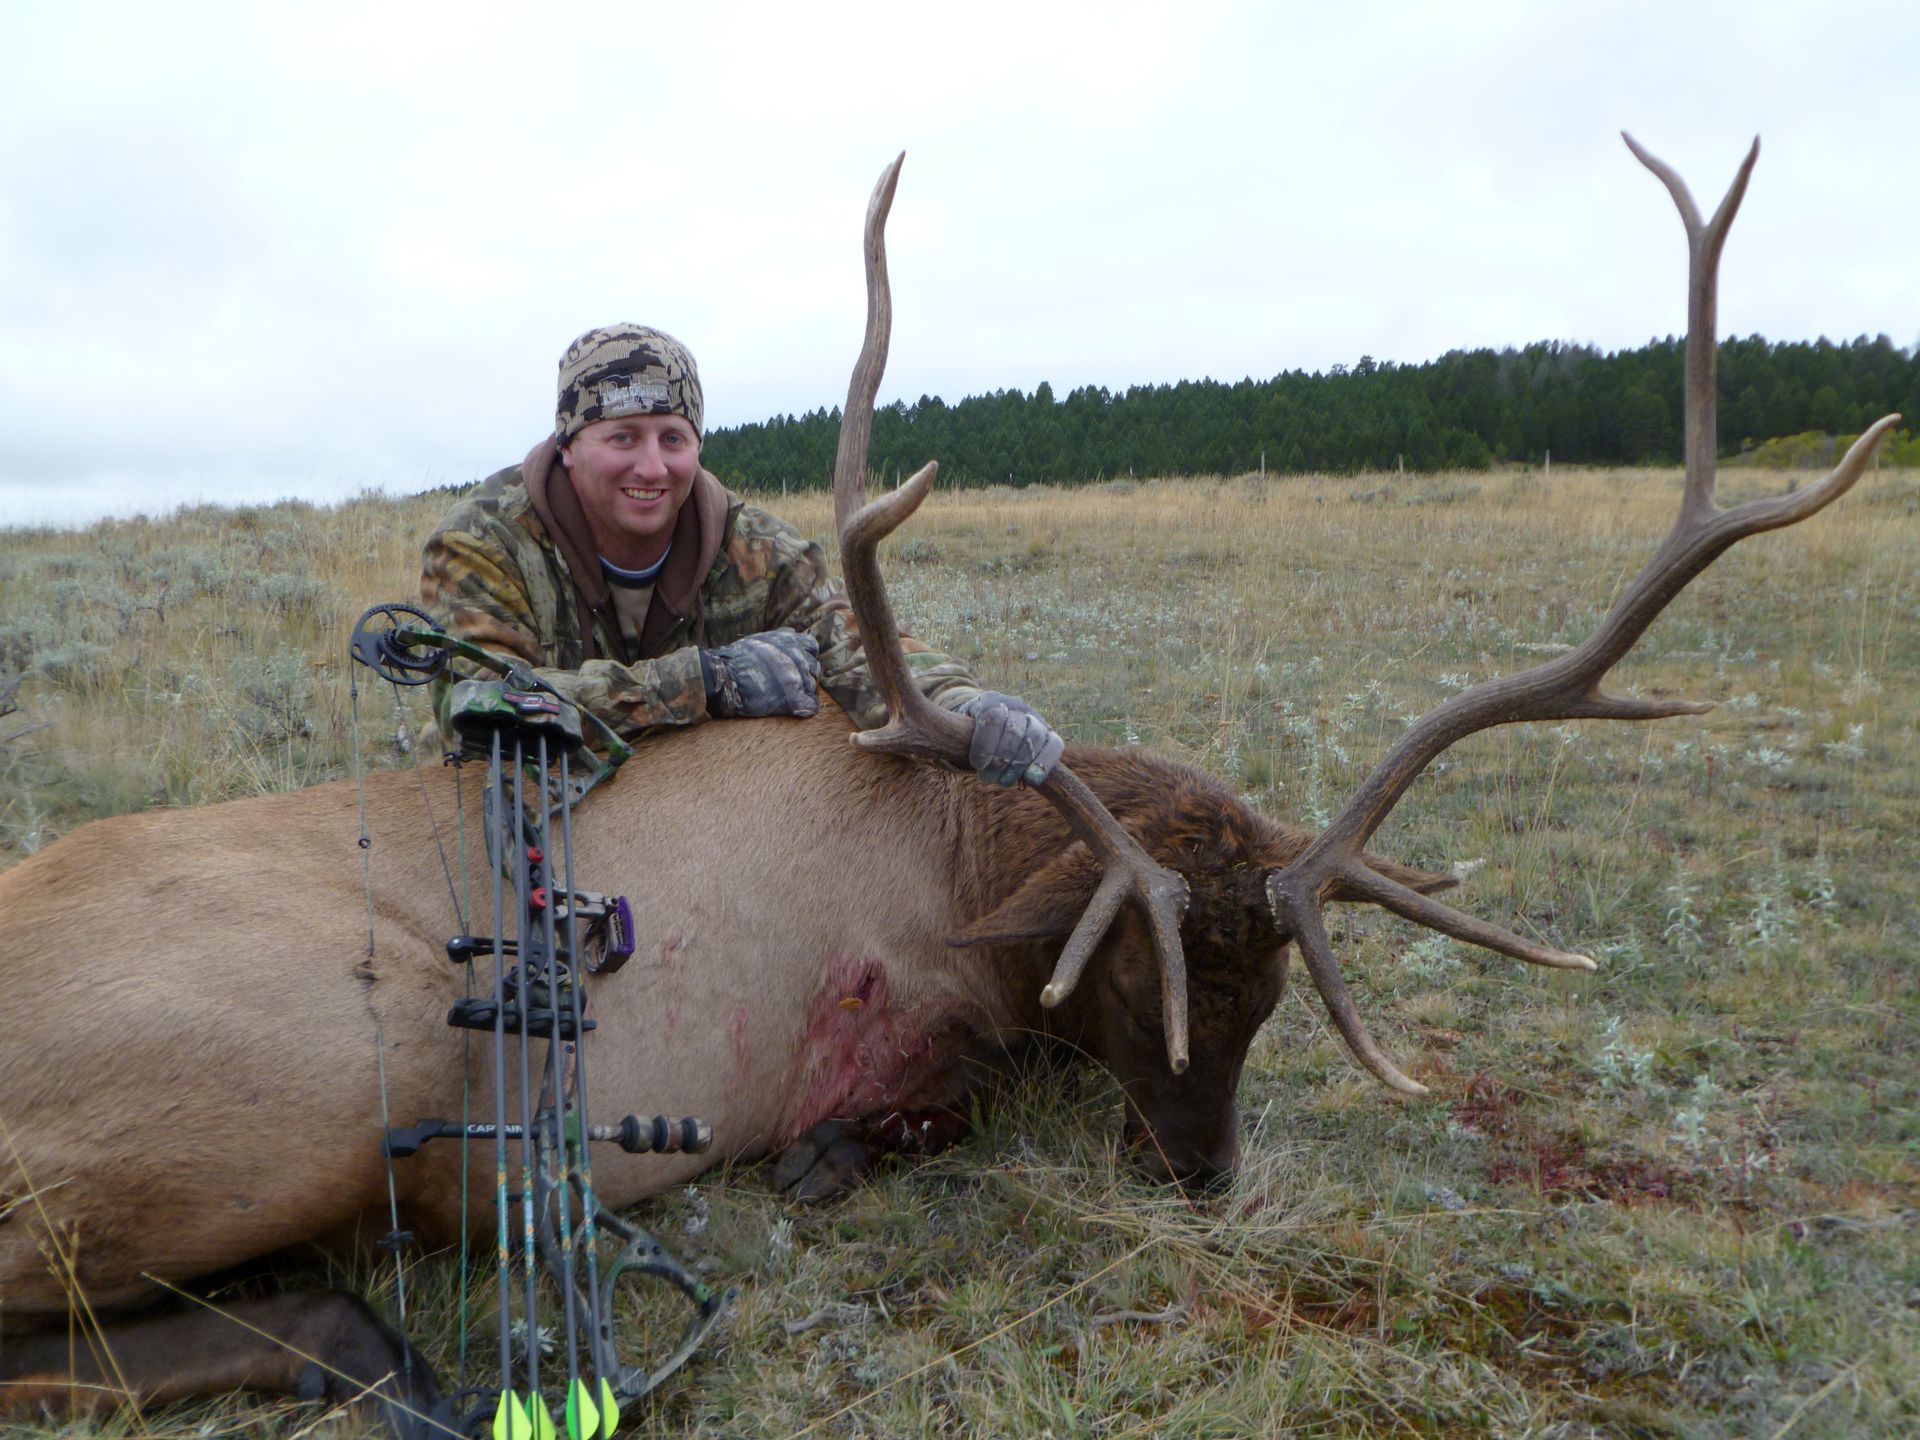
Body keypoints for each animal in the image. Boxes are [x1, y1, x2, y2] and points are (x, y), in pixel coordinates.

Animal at [0, 136, 1897, 1436]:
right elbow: (931, 1104)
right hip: (323, 1066)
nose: (1205, 1177)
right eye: (1128, 973)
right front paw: (839, 1160)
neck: (957, 858)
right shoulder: (899, 1020)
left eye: (1275, 989)